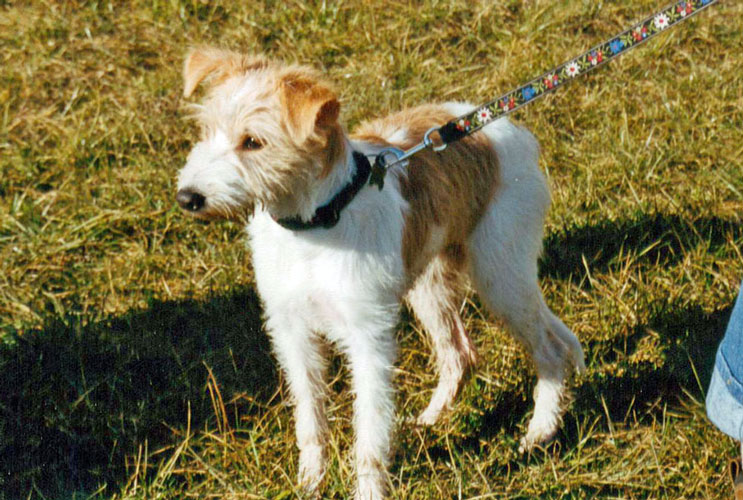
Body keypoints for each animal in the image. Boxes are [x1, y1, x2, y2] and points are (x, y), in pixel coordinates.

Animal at [176, 47, 585, 499]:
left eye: (253, 142)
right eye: (206, 130)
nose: (187, 198)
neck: (315, 227)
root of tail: (511, 130)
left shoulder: (368, 339)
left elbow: (369, 431)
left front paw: (368, 489)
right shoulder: (293, 334)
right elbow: (310, 420)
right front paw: (310, 483)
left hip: (501, 278)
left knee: (549, 350)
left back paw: (539, 433)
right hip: (431, 285)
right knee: (460, 355)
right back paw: (431, 420)